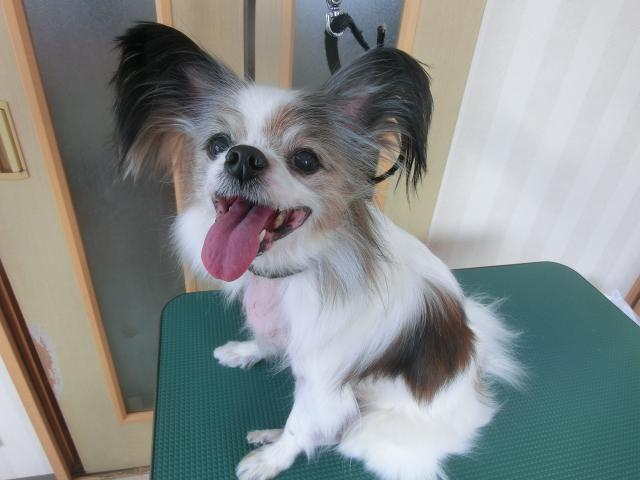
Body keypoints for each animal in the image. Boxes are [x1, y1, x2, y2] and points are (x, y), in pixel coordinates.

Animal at [113, 22, 521, 480]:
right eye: (218, 144)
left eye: (305, 160)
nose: (242, 158)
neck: (291, 269)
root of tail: (476, 385)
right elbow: (266, 342)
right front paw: (244, 352)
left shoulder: (324, 380)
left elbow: (302, 423)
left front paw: (273, 459)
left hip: (368, 433)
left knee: (337, 432)